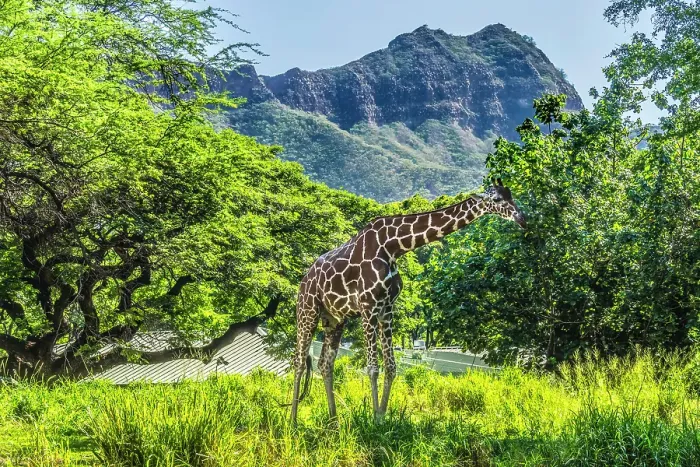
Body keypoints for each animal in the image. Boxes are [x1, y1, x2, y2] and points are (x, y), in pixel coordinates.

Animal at [290, 179, 526, 424]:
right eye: (497, 199)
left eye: (511, 195)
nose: (522, 219)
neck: (393, 247)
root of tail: (304, 280)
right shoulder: (368, 307)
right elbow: (372, 367)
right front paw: (373, 420)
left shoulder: (387, 308)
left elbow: (391, 367)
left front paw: (381, 418)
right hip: (307, 310)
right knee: (299, 361)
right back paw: (294, 421)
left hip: (335, 319)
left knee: (325, 363)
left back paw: (334, 422)